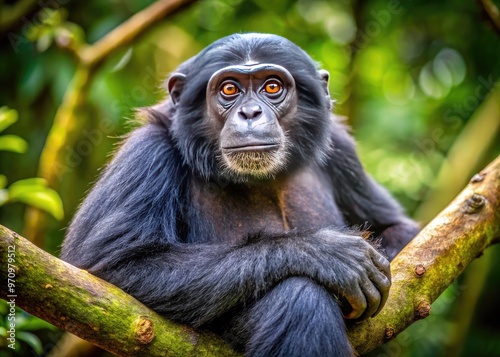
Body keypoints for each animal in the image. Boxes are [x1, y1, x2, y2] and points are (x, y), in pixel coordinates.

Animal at [61, 33, 418, 356]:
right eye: (229, 89)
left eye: (272, 87)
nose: (250, 113)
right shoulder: (146, 153)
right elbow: (114, 261)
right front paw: (329, 252)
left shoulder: (343, 150)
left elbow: (396, 225)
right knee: (300, 299)